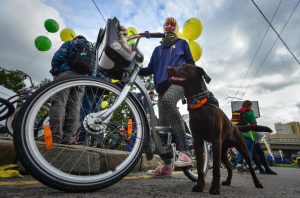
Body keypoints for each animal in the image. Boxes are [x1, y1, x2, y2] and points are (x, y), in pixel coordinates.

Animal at [166, 63, 262, 195]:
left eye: (185, 67)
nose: (168, 68)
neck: (199, 104)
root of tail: (236, 127)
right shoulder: (198, 141)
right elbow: (200, 167)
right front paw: (200, 186)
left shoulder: (216, 140)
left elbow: (216, 168)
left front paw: (215, 188)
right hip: (223, 152)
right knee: (230, 167)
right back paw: (228, 181)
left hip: (242, 149)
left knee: (250, 166)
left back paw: (257, 183)